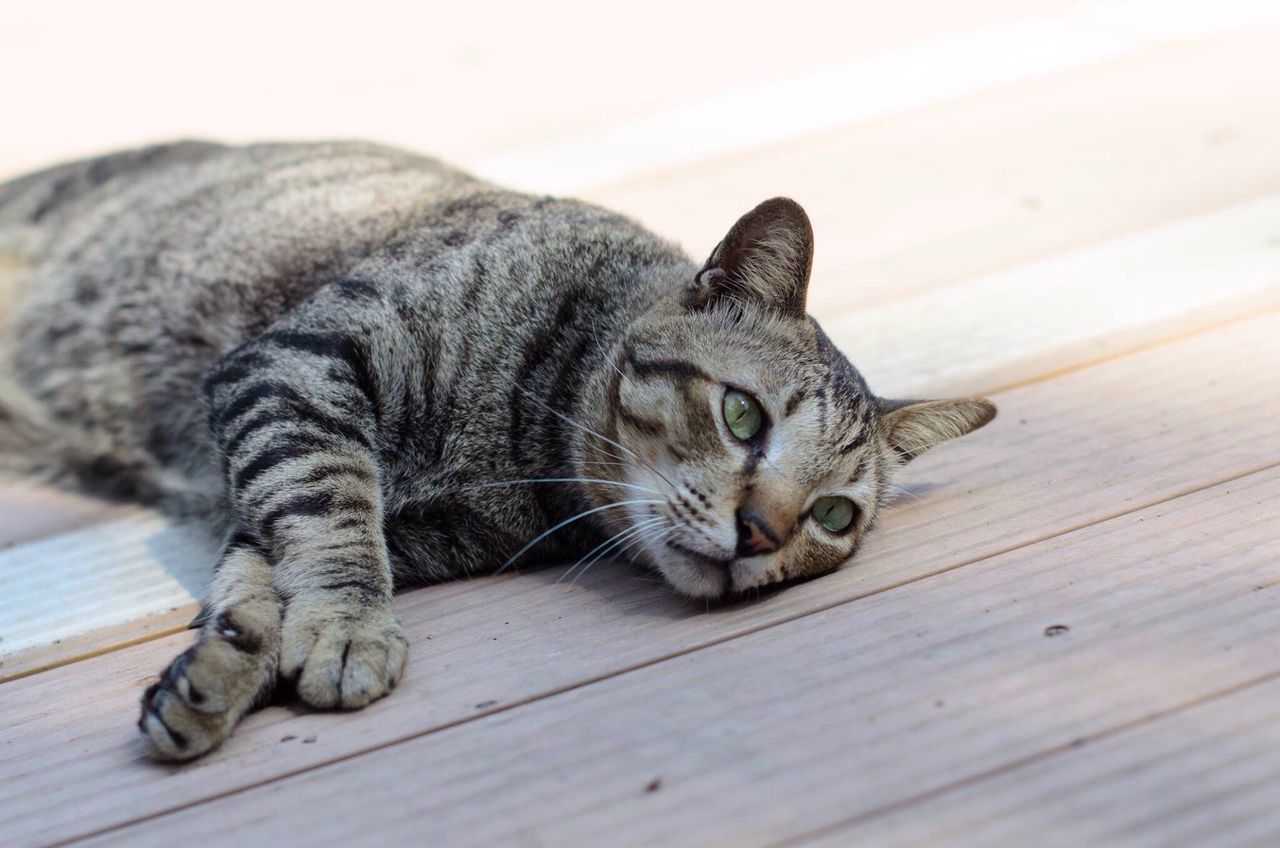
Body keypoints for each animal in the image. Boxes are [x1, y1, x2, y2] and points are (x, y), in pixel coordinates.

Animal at [0, 142, 998, 758]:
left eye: (832, 516)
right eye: (744, 417)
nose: (760, 533)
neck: (521, 444)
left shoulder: (425, 528)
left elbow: (260, 573)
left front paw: (227, 666)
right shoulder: (298, 363)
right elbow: (331, 511)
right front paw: (347, 626)